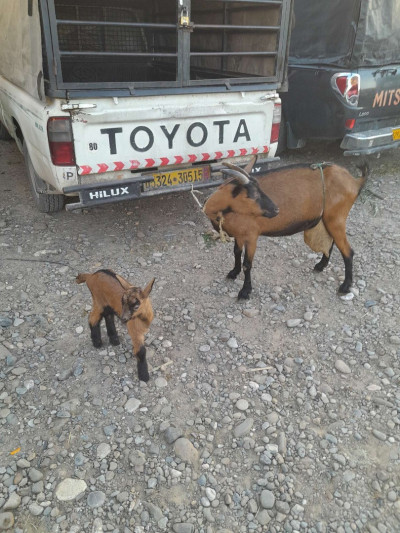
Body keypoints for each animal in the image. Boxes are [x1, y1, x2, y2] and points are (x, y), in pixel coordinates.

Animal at [203, 157, 368, 300]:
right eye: (253, 194)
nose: (276, 210)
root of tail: (355, 182)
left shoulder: (251, 235)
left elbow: (247, 265)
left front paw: (245, 291)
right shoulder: (239, 234)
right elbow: (236, 252)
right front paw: (233, 272)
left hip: (337, 218)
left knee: (348, 251)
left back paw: (345, 286)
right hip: (328, 220)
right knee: (330, 242)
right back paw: (321, 265)